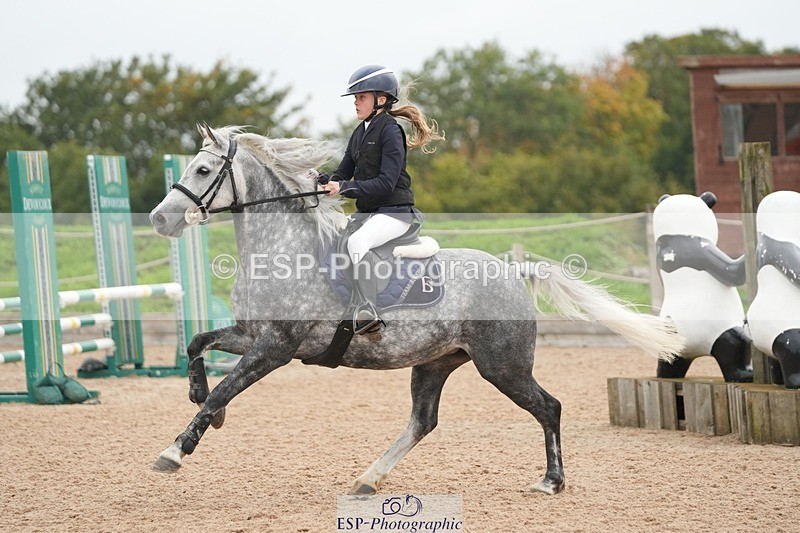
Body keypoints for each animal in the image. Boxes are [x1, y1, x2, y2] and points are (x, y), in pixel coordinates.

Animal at [148, 124, 684, 495]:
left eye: (202, 171)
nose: (158, 219)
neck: (282, 250)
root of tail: (514, 273)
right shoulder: (250, 334)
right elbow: (198, 346)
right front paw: (198, 398)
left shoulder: (276, 347)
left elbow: (226, 389)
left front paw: (176, 449)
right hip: (435, 362)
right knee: (423, 421)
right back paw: (368, 478)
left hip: (503, 365)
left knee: (547, 407)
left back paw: (550, 482)